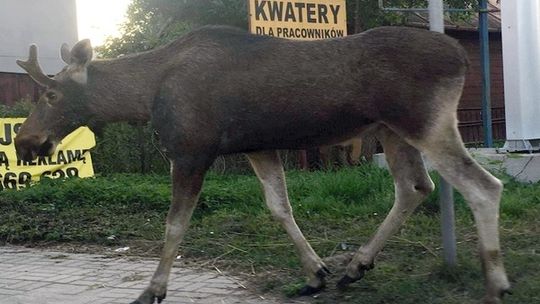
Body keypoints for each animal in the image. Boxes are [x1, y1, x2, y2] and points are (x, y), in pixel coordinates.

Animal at [13, 25, 510, 302]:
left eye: (51, 94)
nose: (25, 141)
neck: (144, 96)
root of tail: (462, 57)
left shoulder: (191, 150)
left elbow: (174, 224)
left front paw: (152, 290)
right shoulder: (257, 147)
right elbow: (279, 207)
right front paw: (315, 274)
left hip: (424, 121)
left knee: (483, 186)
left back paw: (496, 284)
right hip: (390, 130)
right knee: (415, 187)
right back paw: (355, 266)